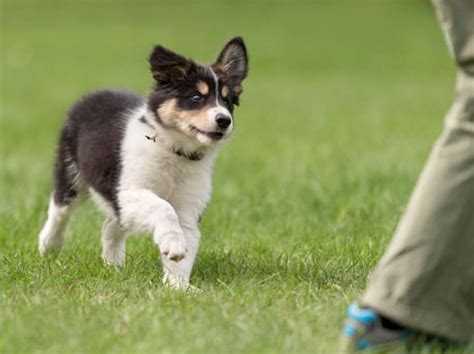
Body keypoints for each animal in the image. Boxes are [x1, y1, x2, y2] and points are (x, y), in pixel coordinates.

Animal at [38, 36, 248, 290]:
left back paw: (113, 265)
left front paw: (179, 287)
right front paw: (174, 245)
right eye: (196, 98)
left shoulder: (188, 208)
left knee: (112, 225)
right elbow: (163, 208)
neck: (176, 152)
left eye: (227, 101)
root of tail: (96, 93)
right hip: (70, 172)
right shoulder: (128, 191)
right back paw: (49, 245)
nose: (224, 120)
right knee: (59, 209)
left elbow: (184, 251)